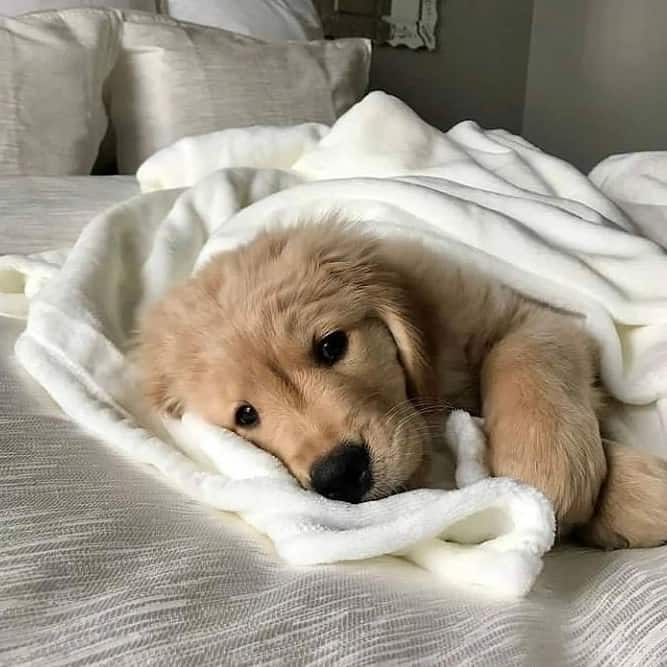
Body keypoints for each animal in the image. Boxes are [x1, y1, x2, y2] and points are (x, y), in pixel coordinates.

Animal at [137, 223, 667, 548]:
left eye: (332, 346)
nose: (339, 476)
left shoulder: (532, 315)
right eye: (245, 415)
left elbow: (522, 352)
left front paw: (542, 465)